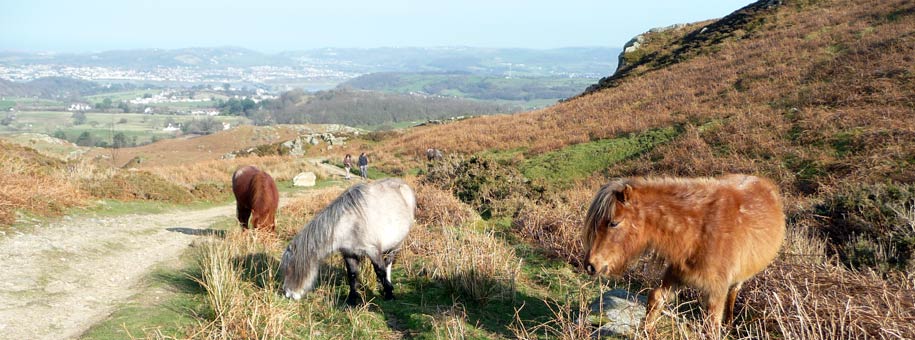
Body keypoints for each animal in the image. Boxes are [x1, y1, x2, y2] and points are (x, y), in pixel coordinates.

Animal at [280, 178, 416, 306]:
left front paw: (389, 294)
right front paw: (351, 300)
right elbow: (352, 275)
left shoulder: (373, 251)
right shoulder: (349, 254)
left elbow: (380, 271)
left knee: (388, 263)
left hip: (397, 244)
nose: (287, 294)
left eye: (290, 269)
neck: (351, 224)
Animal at [588, 175, 788, 330]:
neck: (700, 231)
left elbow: (712, 326)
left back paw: (730, 324)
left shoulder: (716, 292)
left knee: (734, 292)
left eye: (614, 222)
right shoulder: (677, 274)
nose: (590, 265)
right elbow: (655, 299)